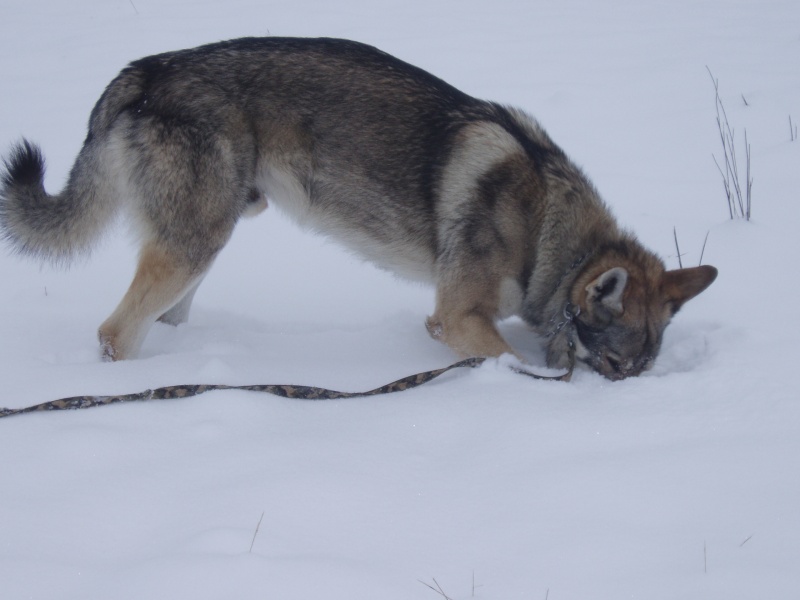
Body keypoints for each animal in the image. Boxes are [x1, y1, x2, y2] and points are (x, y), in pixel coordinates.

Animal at [1, 36, 720, 380]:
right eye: (616, 366)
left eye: (640, 370)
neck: (547, 229)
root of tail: (146, 69)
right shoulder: (455, 318)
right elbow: (508, 361)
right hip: (195, 244)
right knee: (113, 333)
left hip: (211, 238)